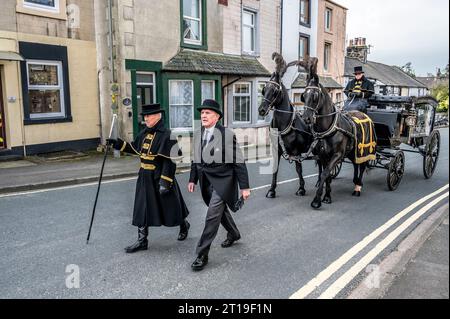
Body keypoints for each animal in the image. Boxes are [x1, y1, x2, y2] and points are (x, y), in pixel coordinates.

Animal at [258, 53, 314, 199]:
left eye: (275, 90)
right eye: (264, 89)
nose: (261, 110)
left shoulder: (297, 151)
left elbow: (299, 169)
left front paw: (301, 188)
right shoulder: (276, 150)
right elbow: (274, 169)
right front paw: (271, 190)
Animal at [298, 57, 374, 210]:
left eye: (315, 96)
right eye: (304, 95)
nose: (306, 118)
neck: (328, 129)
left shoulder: (337, 155)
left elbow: (325, 173)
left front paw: (317, 200)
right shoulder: (323, 156)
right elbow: (326, 175)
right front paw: (327, 196)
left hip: (364, 150)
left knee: (362, 165)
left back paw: (358, 187)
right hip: (353, 151)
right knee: (356, 164)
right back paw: (355, 181)